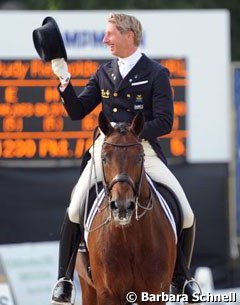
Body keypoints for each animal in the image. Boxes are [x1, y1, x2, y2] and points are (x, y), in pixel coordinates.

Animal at [76, 112, 177, 304]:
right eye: (104, 158)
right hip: (87, 286)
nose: (122, 206)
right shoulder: (108, 294)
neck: (129, 236)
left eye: (139, 158)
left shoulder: (155, 293)